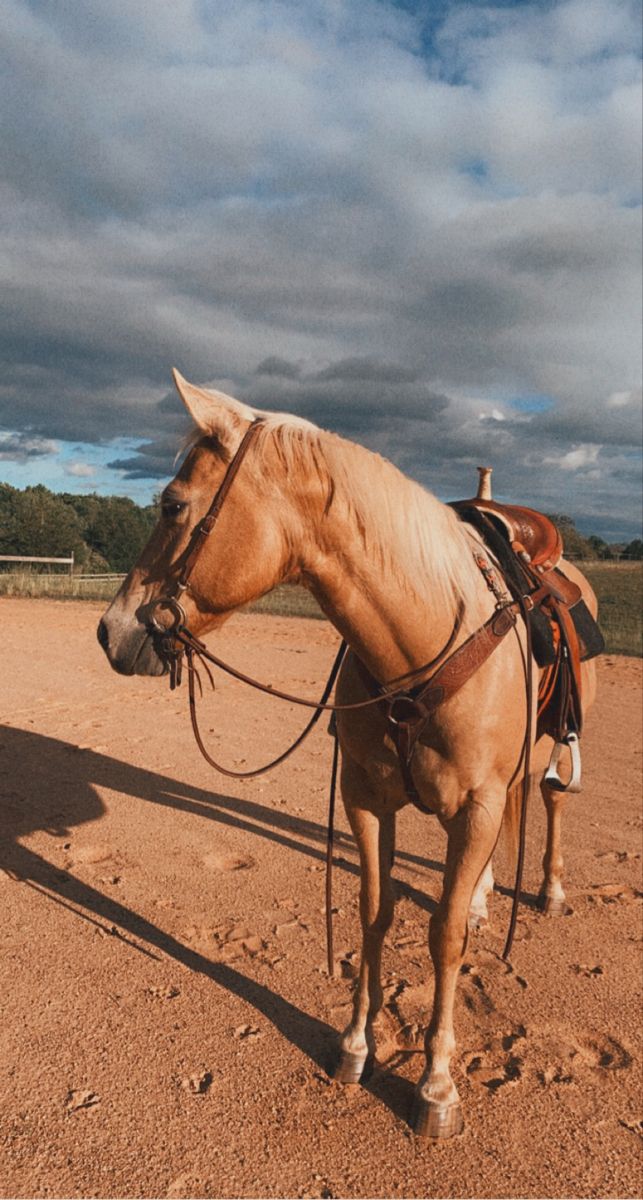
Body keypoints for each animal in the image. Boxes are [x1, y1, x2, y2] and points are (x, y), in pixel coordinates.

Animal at [98, 369, 597, 1137]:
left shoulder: (474, 804)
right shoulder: (365, 797)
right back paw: (487, 897)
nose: (110, 631)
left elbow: (442, 937)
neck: (421, 643)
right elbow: (374, 910)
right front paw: (357, 1045)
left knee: (547, 796)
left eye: (173, 504)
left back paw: (548, 889)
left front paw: (436, 1084)